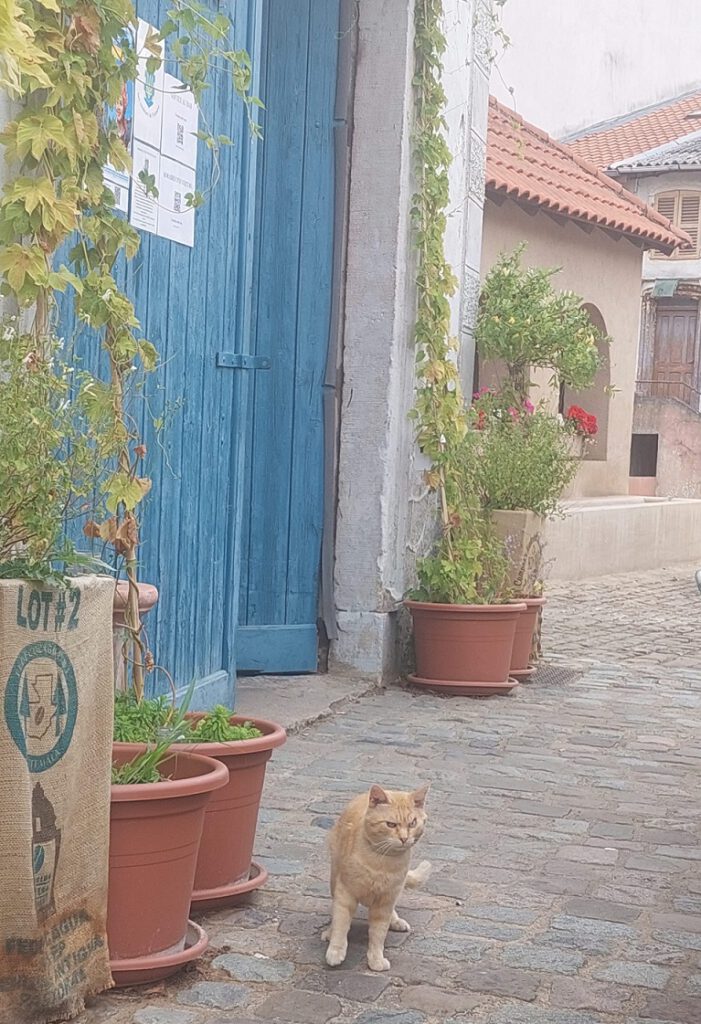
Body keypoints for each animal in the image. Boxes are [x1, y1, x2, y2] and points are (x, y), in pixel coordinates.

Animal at [323, 786, 431, 970]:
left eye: (412, 823)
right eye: (391, 824)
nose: (404, 838)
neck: (381, 862)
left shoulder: (385, 901)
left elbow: (378, 934)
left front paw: (375, 959)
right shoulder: (345, 893)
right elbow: (340, 924)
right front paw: (335, 951)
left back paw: (395, 921)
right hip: (334, 877)